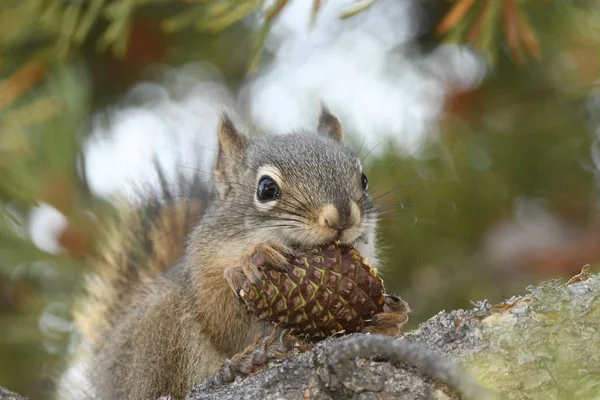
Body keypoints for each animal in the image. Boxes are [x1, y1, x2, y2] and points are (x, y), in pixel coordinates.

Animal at [54, 105, 490, 400]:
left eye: (364, 179)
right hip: (157, 333)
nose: (342, 216)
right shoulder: (204, 277)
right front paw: (254, 261)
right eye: (266, 189)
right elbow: (222, 322)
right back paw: (245, 364)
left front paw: (389, 315)